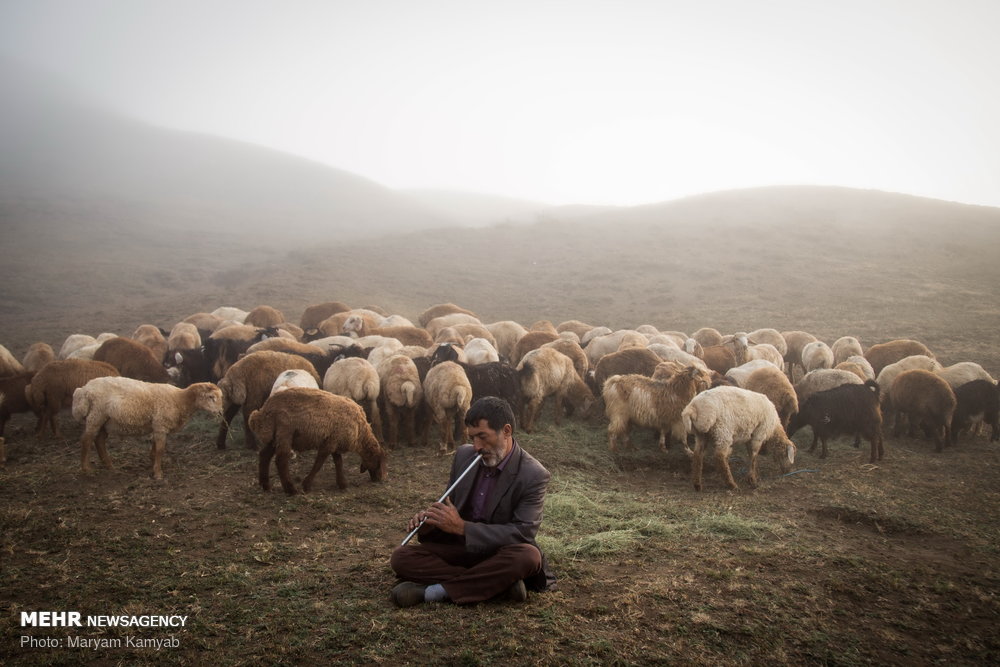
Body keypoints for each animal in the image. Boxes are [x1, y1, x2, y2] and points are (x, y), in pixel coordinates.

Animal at [71, 376, 224, 480]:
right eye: (211, 397)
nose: (221, 412)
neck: (180, 400)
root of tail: (83, 390)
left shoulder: (158, 425)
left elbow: (155, 447)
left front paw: (153, 463)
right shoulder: (161, 425)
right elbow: (160, 449)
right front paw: (158, 473)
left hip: (105, 421)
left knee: (99, 441)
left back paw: (110, 466)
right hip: (96, 415)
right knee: (86, 440)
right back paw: (86, 469)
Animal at [249, 388, 386, 494]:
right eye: (379, 461)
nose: (381, 479)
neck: (360, 432)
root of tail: (265, 409)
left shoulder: (334, 441)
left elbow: (338, 463)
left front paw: (342, 484)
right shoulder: (328, 444)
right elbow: (318, 464)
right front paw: (306, 485)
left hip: (275, 435)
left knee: (264, 455)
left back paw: (266, 486)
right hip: (285, 432)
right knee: (281, 460)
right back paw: (291, 490)